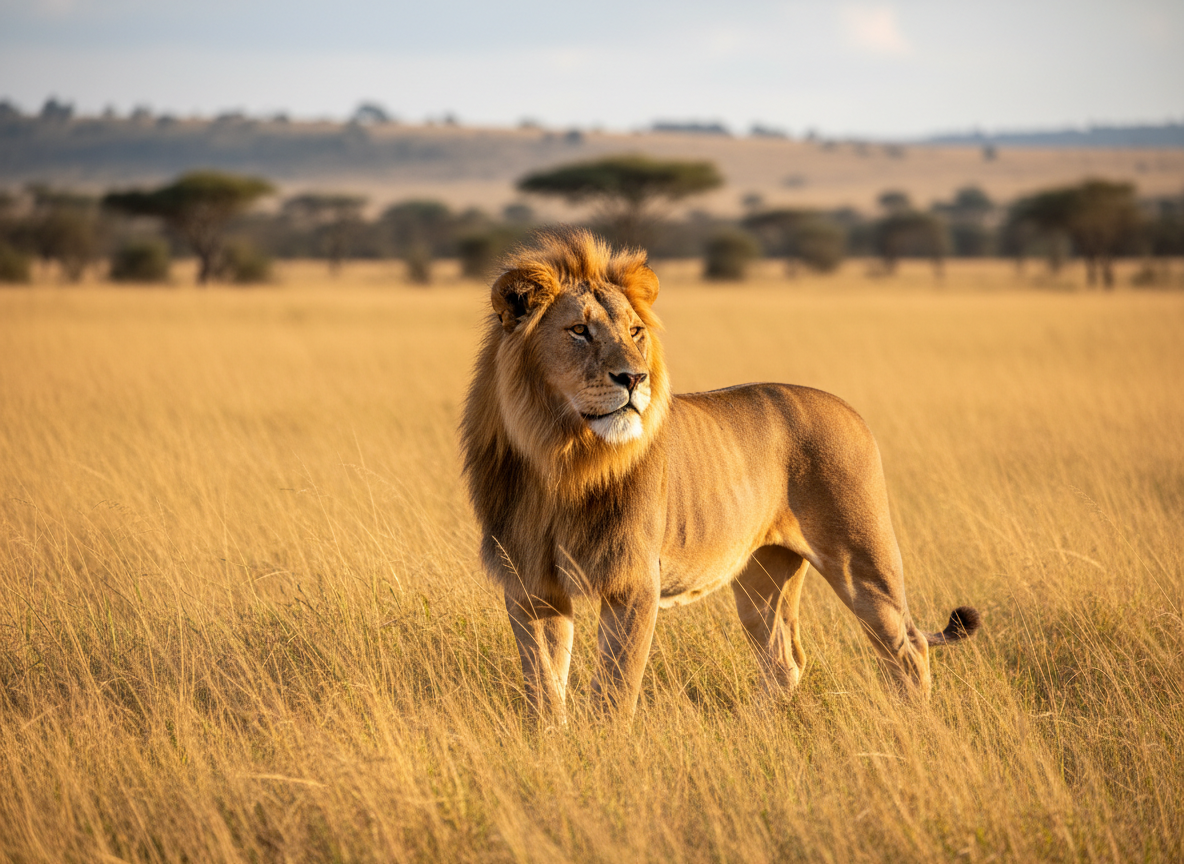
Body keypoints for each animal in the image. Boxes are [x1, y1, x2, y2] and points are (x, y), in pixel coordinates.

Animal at [461, 228, 979, 718]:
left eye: (635, 331)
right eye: (579, 330)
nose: (634, 378)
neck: (560, 457)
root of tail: (849, 410)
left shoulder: (634, 584)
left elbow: (614, 692)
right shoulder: (531, 585)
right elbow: (543, 688)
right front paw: (553, 740)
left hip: (862, 557)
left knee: (907, 647)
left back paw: (912, 723)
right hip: (763, 576)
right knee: (784, 661)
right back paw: (754, 727)